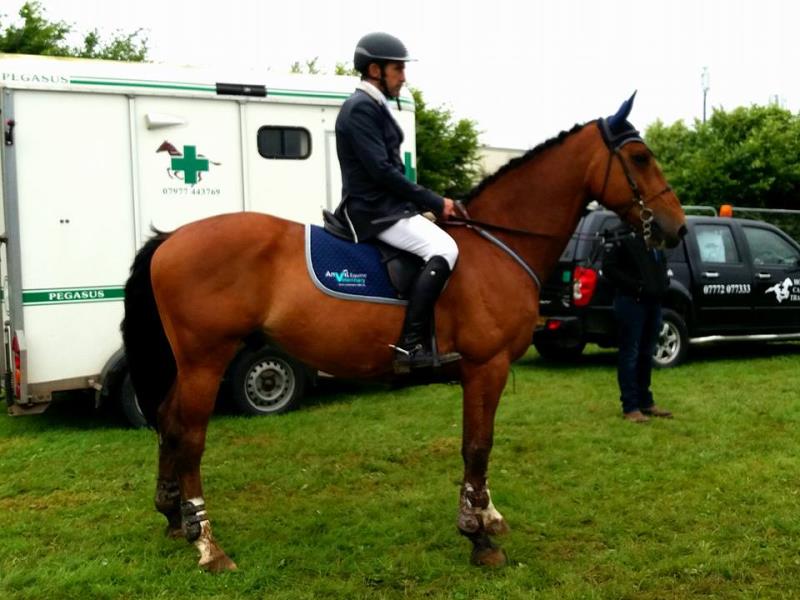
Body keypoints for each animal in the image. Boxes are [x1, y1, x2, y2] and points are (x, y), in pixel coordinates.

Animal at [122, 95, 684, 572]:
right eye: (639, 157)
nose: (675, 228)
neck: (497, 245)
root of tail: (172, 238)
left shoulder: (485, 372)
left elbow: (480, 446)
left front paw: (488, 515)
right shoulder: (486, 367)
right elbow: (477, 446)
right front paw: (478, 537)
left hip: (190, 365)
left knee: (169, 424)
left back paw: (175, 520)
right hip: (206, 360)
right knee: (189, 436)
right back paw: (208, 546)